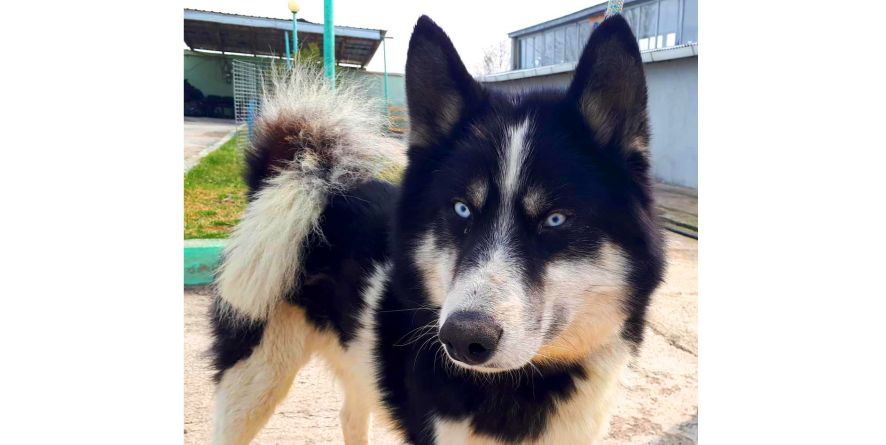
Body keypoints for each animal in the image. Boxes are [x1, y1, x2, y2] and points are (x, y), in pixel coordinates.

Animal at [210, 13, 664, 444]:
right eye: (461, 209)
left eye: (555, 219)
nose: (463, 338)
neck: (532, 380)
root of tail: (298, 177)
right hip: (252, 379)